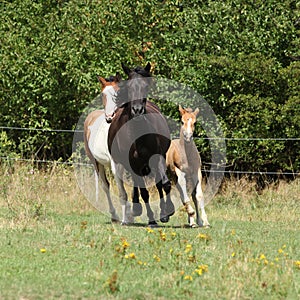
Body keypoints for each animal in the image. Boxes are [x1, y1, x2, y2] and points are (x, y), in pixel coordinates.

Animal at [83, 74, 132, 224]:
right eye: (103, 94)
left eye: (118, 93)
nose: (109, 117)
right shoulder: (116, 164)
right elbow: (122, 191)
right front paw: (126, 218)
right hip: (97, 162)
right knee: (105, 186)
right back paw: (114, 215)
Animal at [108, 63, 175, 227]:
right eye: (129, 87)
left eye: (145, 86)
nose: (137, 110)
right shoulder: (134, 164)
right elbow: (144, 192)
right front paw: (151, 219)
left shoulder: (157, 157)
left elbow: (165, 184)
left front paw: (167, 212)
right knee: (138, 185)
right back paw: (137, 209)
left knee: (158, 183)